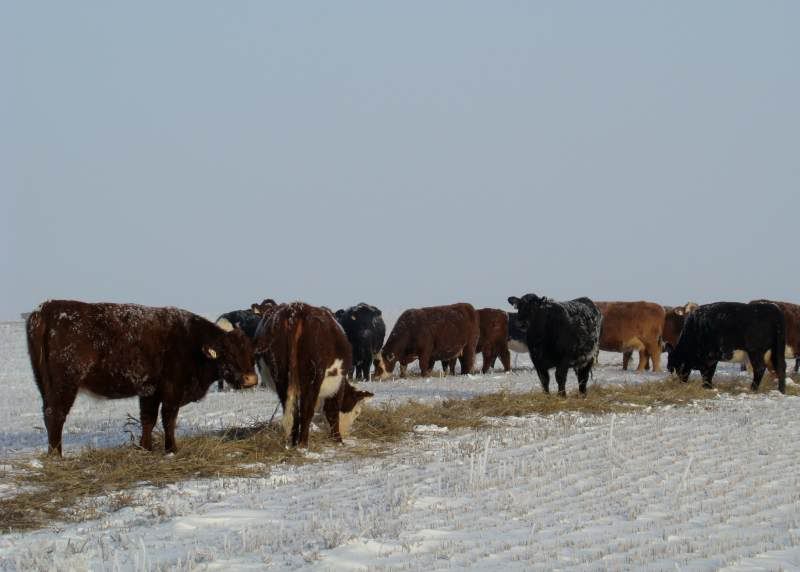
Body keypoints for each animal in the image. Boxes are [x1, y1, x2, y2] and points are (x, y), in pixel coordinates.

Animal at [26, 300, 258, 456]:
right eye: (228, 353)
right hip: (65, 384)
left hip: (45, 385)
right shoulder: (171, 390)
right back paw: (57, 455)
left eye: (251, 353)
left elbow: (148, 419)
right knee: (55, 415)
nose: (251, 380)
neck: (192, 342)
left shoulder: (149, 391)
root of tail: (46, 309)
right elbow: (168, 419)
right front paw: (171, 449)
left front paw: (145, 448)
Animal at [253, 302, 373, 448]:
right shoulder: (338, 384)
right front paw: (338, 440)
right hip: (312, 377)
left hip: (281, 375)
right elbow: (332, 411)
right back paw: (303, 444)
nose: (346, 433)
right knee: (306, 410)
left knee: (293, 411)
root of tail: (295, 310)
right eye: (356, 412)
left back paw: (294, 443)